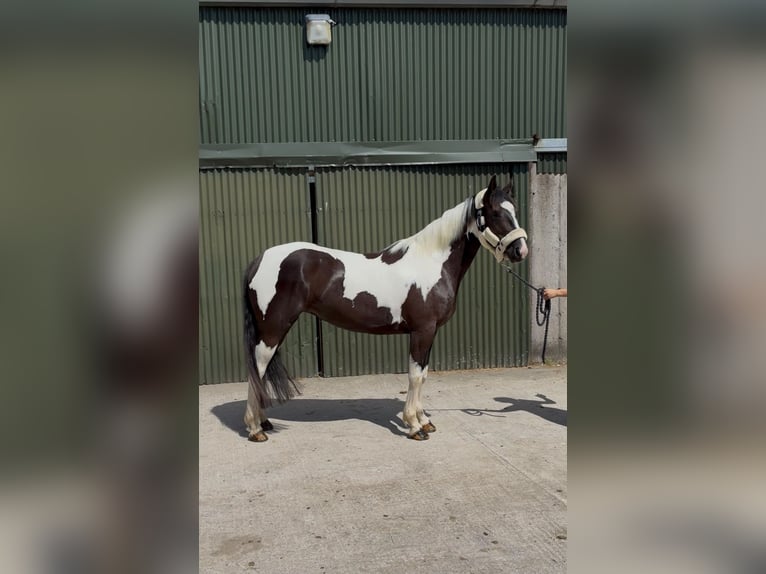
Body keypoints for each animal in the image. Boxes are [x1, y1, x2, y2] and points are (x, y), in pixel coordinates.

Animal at [242, 175, 528, 441]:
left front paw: (425, 421)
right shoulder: (422, 331)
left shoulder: (431, 332)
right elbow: (415, 376)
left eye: (514, 210)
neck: (431, 262)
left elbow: (424, 374)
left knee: (260, 374)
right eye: (496, 213)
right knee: (257, 370)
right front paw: (414, 426)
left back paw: (263, 422)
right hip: (273, 330)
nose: (520, 250)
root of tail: (259, 259)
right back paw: (255, 428)